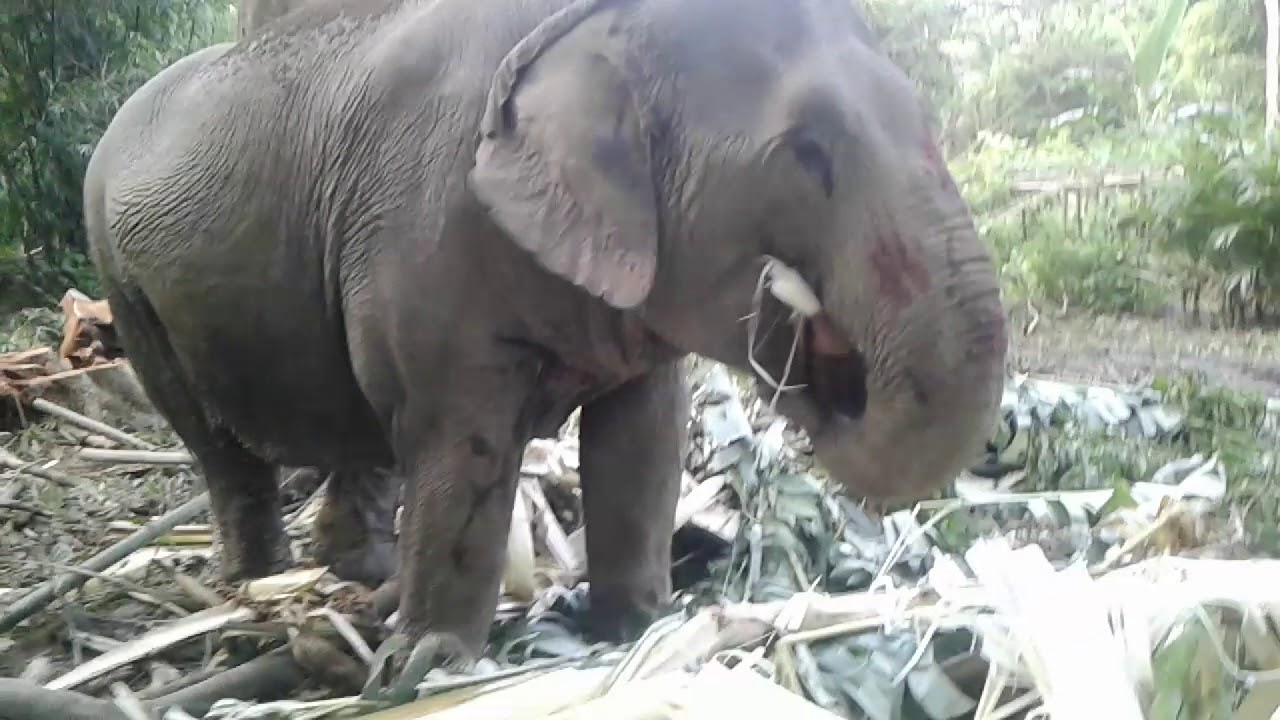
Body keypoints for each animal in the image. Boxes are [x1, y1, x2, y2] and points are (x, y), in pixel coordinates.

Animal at [82, 0, 1008, 667]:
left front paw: (641, 628)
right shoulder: (428, 230)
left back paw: (365, 580)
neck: (591, 26)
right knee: (218, 441)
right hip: (121, 277)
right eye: (808, 152)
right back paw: (264, 586)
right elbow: (463, 437)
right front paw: (426, 666)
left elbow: (644, 433)